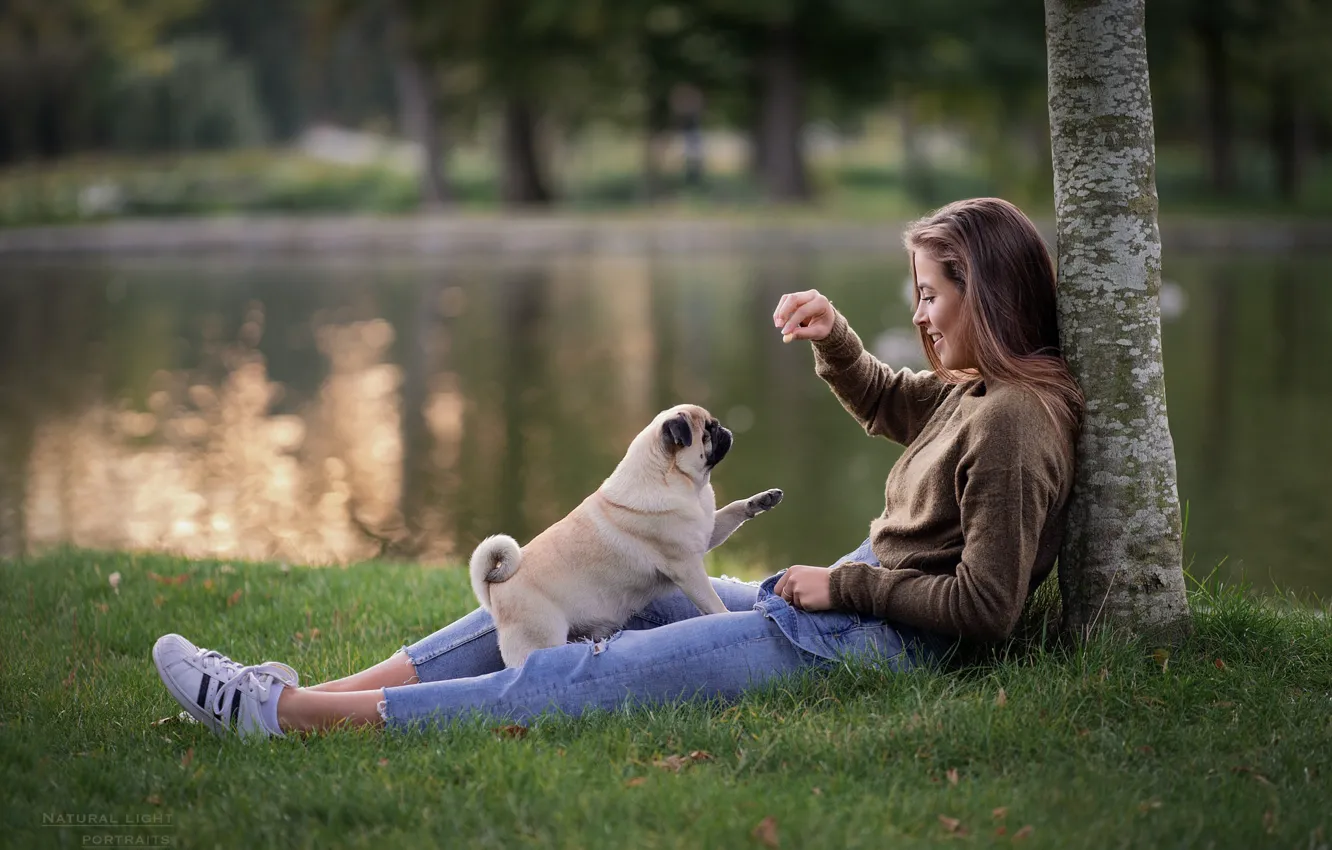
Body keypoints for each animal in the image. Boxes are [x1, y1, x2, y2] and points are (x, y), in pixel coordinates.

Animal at [468, 402, 777, 668]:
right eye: (707, 431)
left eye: (714, 426)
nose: (724, 429)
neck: (680, 483)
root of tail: (494, 588)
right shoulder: (687, 568)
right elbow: (713, 603)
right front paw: (728, 620)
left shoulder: (705, 533)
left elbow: (732, 512)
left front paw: (759, 501)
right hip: (539, 637)